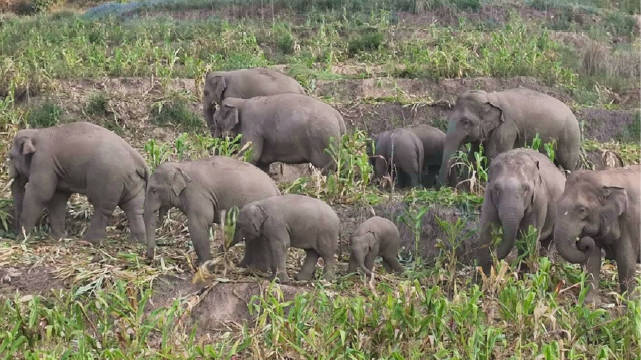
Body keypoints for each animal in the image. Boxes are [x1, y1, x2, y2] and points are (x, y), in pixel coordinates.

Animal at [7, 122, 148, 243]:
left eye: (10, 157)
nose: (15, 232)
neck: (36, 132)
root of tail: (139, 160)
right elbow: (58, 198)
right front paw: (59, 237)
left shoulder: (43, 160)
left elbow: (41, 193)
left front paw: (22, 238)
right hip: (133, 181)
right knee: (134, 207)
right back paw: (137, 241)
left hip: (109, 179)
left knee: (102, 207)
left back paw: (90, 241)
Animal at [145, 156, 280, 266]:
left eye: (154, 190)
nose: (149, 260)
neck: (181, 166)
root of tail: (276, 188)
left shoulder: (197, 195)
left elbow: (198, 225)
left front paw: (203, 265)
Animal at [212, 93, 344, 172]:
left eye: (216, 120)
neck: (241, 102)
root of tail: (339, 118)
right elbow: (261, 163)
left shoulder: (251, 126)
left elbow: (250, 155)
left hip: (325, 142)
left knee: (326, 169)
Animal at [436, 88, 580, 187]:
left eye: (466, 122)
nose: (444, 188)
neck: (490, 98)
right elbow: (474, 155)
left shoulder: (506, 129)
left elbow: (494, 155)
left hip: (570, 138)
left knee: (568, 165)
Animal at [552, 166, 636, 304]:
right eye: (557, 203)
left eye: (582, 210)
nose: (580, 242)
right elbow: (593, 259)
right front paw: (590, 303)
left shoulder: (630, 221)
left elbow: (626, 259)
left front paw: (630, 303)